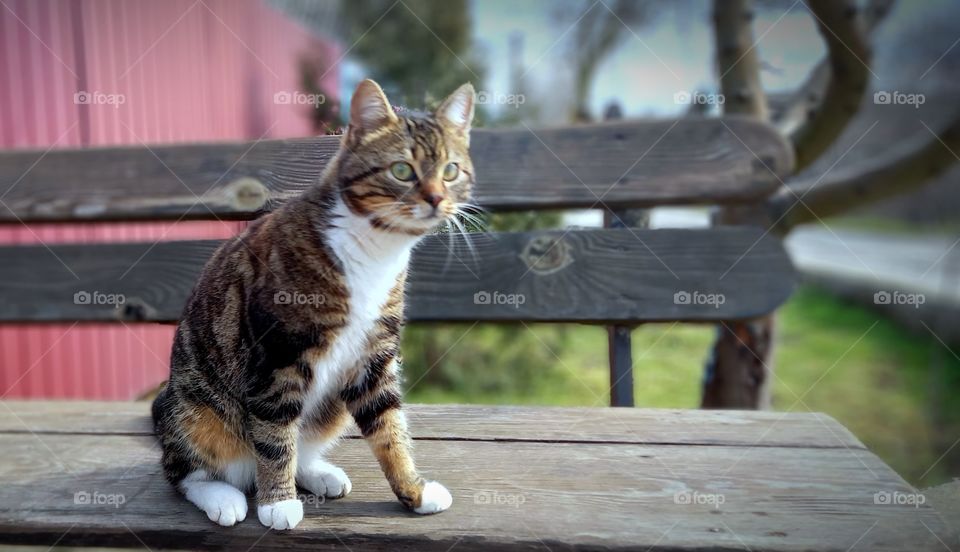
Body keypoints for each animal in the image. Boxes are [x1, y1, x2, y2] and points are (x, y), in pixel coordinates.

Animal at [151, 78, 476, 532]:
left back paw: (318, 473)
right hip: (196, 412)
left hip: (330, 408)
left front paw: (414, 489)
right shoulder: (277, 356)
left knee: (301, 441)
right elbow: (273, 436)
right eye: (402, 170)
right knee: (187, 470)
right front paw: (278, 504)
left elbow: (389, 424)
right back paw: (225, 496)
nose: (435, 199)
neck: (374, 250)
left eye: (450, 170)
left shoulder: (374, 355)